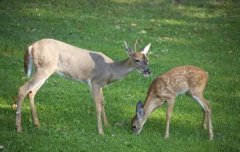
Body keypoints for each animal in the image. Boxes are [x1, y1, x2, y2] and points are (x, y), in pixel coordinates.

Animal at [15, 38, 151, 134]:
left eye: (147, 59)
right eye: (136, 60)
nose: (148, 71)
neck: (111, 69)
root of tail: (31, 46)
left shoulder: (100, 85)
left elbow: (103, 102)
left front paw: (107, 125)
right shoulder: (94, 82)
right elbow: (98, 106)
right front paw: (101, 132)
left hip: (45, 70)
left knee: (31, 91)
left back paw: (36, 124)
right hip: (44, 68)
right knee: (23, 89)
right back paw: (19, 128)